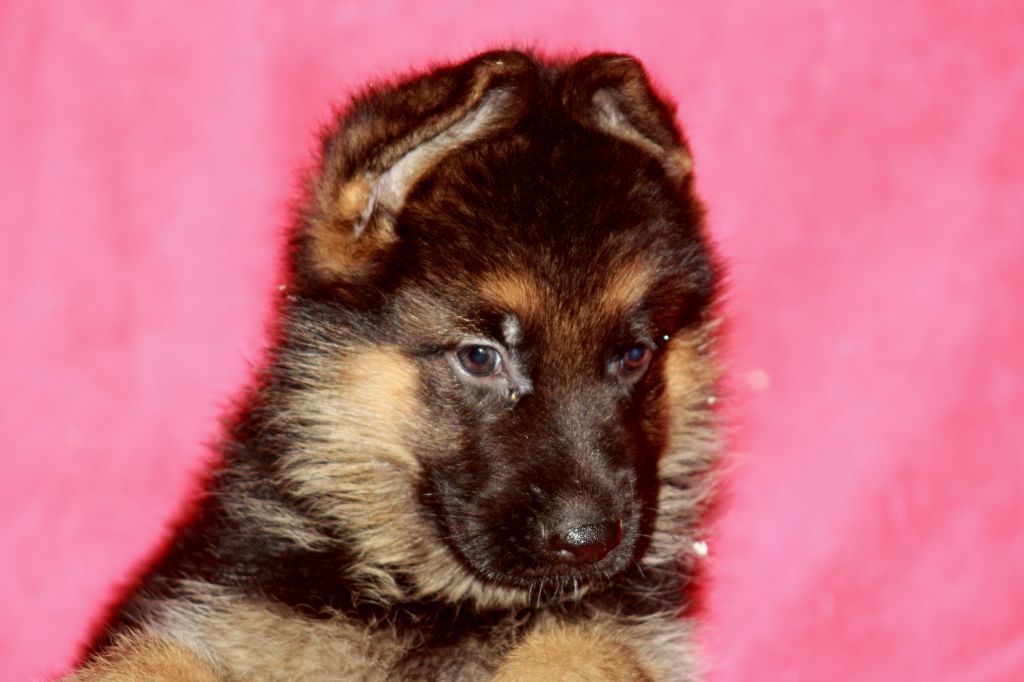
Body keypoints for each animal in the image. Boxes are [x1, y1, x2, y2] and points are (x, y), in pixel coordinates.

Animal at [68, 49, 722, 681]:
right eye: (480, 357)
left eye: (635, 355)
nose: (588, 543)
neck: (432, 601)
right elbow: (152, 660)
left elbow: (577, 648)